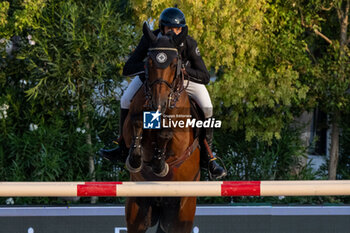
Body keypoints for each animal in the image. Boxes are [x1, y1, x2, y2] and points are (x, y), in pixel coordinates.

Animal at [122, 22, 200, 233]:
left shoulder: (181, 142)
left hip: (183, 212)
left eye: (174, 65)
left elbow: (167, 134)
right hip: (137, 209)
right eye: (148, 63)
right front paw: (135, 158)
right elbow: (136, 123)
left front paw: (159, 164)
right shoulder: (129, 127)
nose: (159, 104)